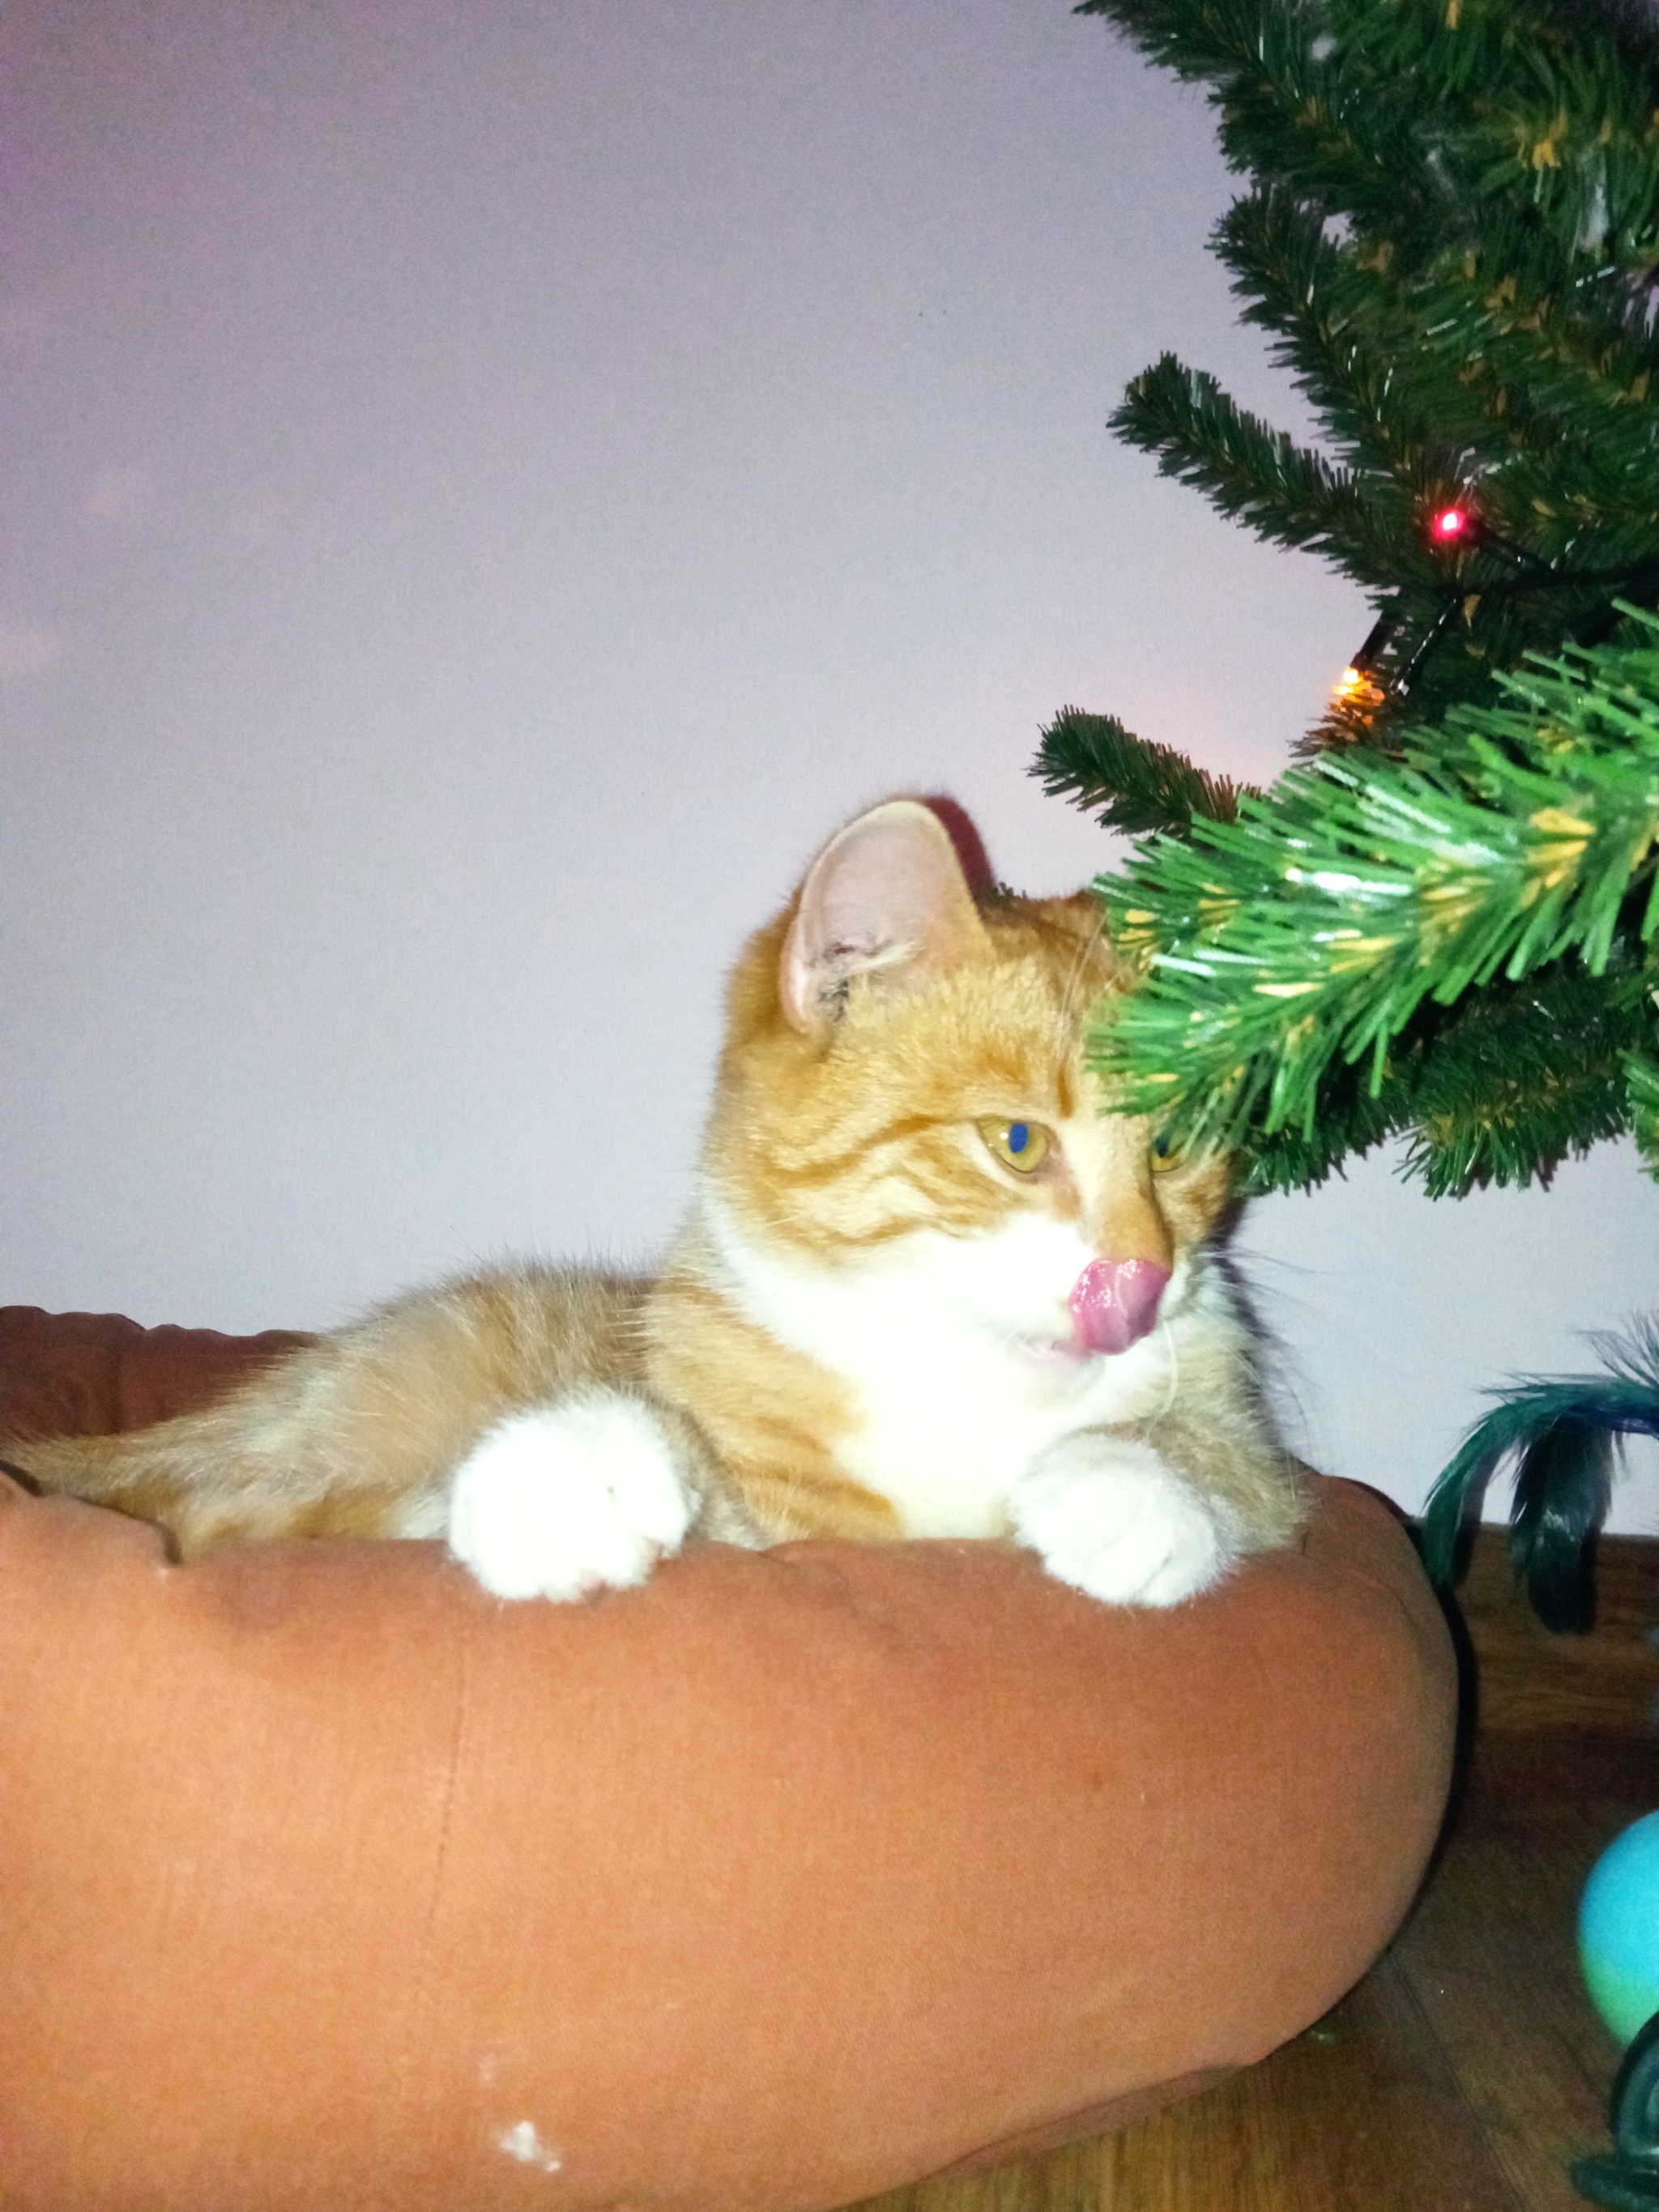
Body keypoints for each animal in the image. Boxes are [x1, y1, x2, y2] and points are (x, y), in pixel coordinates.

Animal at [13, 805, 1309, 1601]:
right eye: (1018, 1141)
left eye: (1177, 1145)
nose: (1140, 1276)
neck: (956, 1386)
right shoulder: (781, 1517)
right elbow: (704, 1481)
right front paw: (578, 1470)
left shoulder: (1266, 1462)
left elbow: (1232, 1461)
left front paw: (1131, 1483)